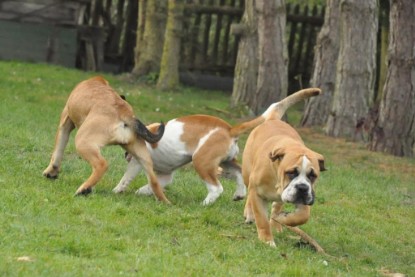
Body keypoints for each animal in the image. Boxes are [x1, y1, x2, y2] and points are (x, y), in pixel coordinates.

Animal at [42, 75, 171, 203]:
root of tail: (125, 113)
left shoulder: (65, 123)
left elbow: (58, 150)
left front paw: (50, 172)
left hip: (82, 142)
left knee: (101, 164)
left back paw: (84, 189)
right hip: (142, 155)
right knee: (154, 181)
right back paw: (165, 201)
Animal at [112, 88, 320, 205]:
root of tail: (229, 129)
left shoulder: (137, 163)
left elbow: (126, 177)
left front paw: (117, 190)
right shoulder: (164, 175)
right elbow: (153, 184)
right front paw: (144, 191)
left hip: (201, 161)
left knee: (216, 188)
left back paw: (205, 203)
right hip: (227, 161)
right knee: (238, 174)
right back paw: (239, 194)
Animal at [242, 89, 326, 245]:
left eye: (312, 175)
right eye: (291, 172)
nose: (302, 188)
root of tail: (272, 119)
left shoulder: (304, 198)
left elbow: (303, 216)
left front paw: (283, 219)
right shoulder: (256, 193)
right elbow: (262, 220)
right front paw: (267, 241)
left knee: (277, 206)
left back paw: (276, 223)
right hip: (247, 174)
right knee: (249, 194)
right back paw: (250, 213)